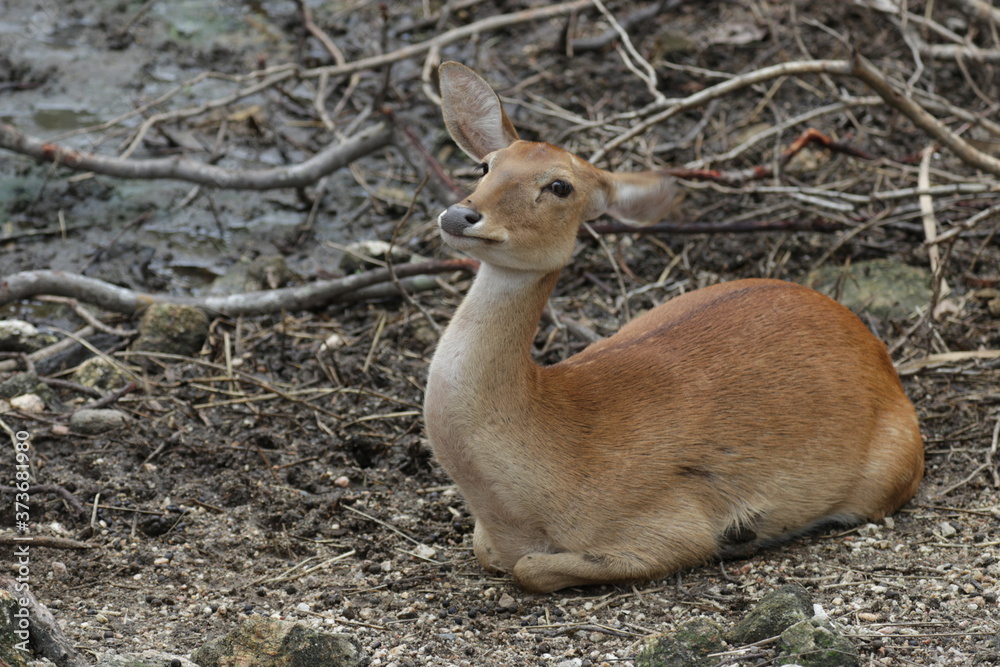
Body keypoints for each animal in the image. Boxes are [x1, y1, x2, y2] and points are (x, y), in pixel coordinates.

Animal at [423, 61, 924, 593]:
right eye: (486, 165)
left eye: (560, 186)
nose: (461, 214)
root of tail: (879, 352)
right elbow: (489, 553)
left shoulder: (670, 526)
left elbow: (531, 570)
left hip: (892, 469)